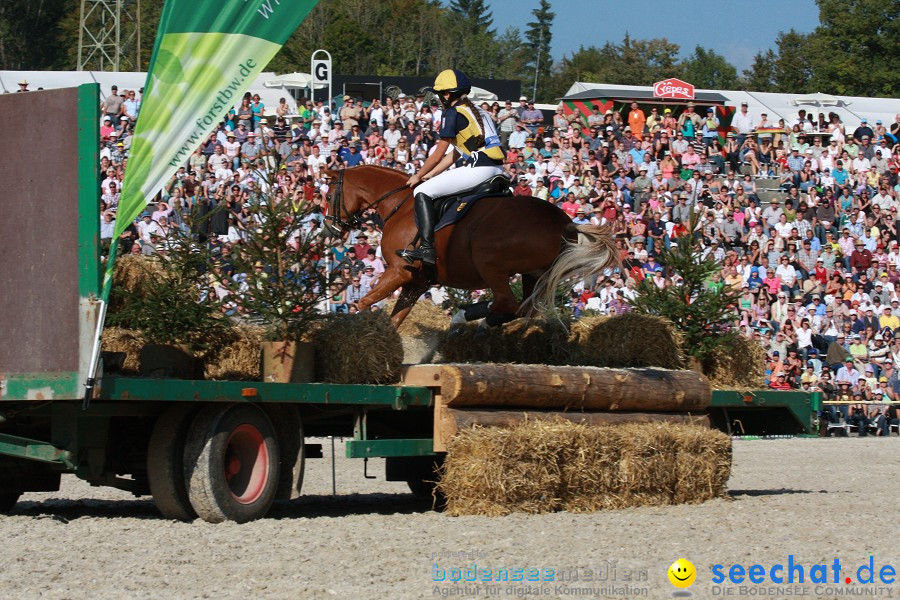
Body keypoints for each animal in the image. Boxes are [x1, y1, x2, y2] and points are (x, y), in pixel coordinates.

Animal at [326, 165, 624, 328]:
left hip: (489, 262)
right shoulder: (416, 283)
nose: (330, 228)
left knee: (506, 302)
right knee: (522, 308)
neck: (401, 205)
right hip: (534, 274)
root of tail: (563, 223)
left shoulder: (399, 271)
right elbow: (395, 319)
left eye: (328, 196)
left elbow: (364, 302)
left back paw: (465, 316)